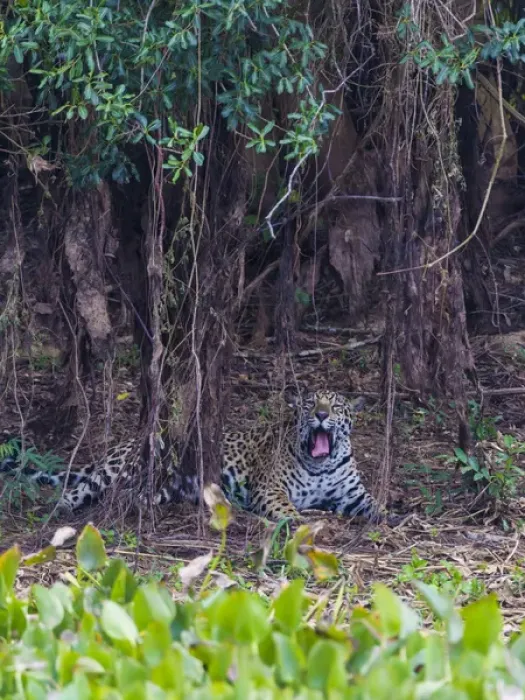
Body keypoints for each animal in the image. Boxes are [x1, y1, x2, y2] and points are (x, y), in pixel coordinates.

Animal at [0, 390, 388, 523]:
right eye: (309, 403)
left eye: (335, 406)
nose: (321, 415)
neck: (322, 465)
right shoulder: (270, 489)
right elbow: (284, 507)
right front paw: (297, 521)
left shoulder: (352, 495)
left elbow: (375, 505)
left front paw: (393, 518)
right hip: (119, 469)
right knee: (84, 488)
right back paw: (61, 509)